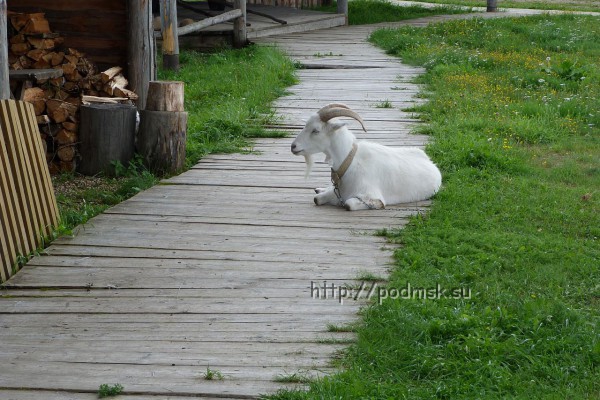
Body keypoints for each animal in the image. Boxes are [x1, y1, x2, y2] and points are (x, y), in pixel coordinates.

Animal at [290, 103, 440, 211]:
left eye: (316, 130)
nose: (293, 146)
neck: (350, 163)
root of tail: (430, 162)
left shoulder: (372, 196)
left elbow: (348, 204)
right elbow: (318, 199)